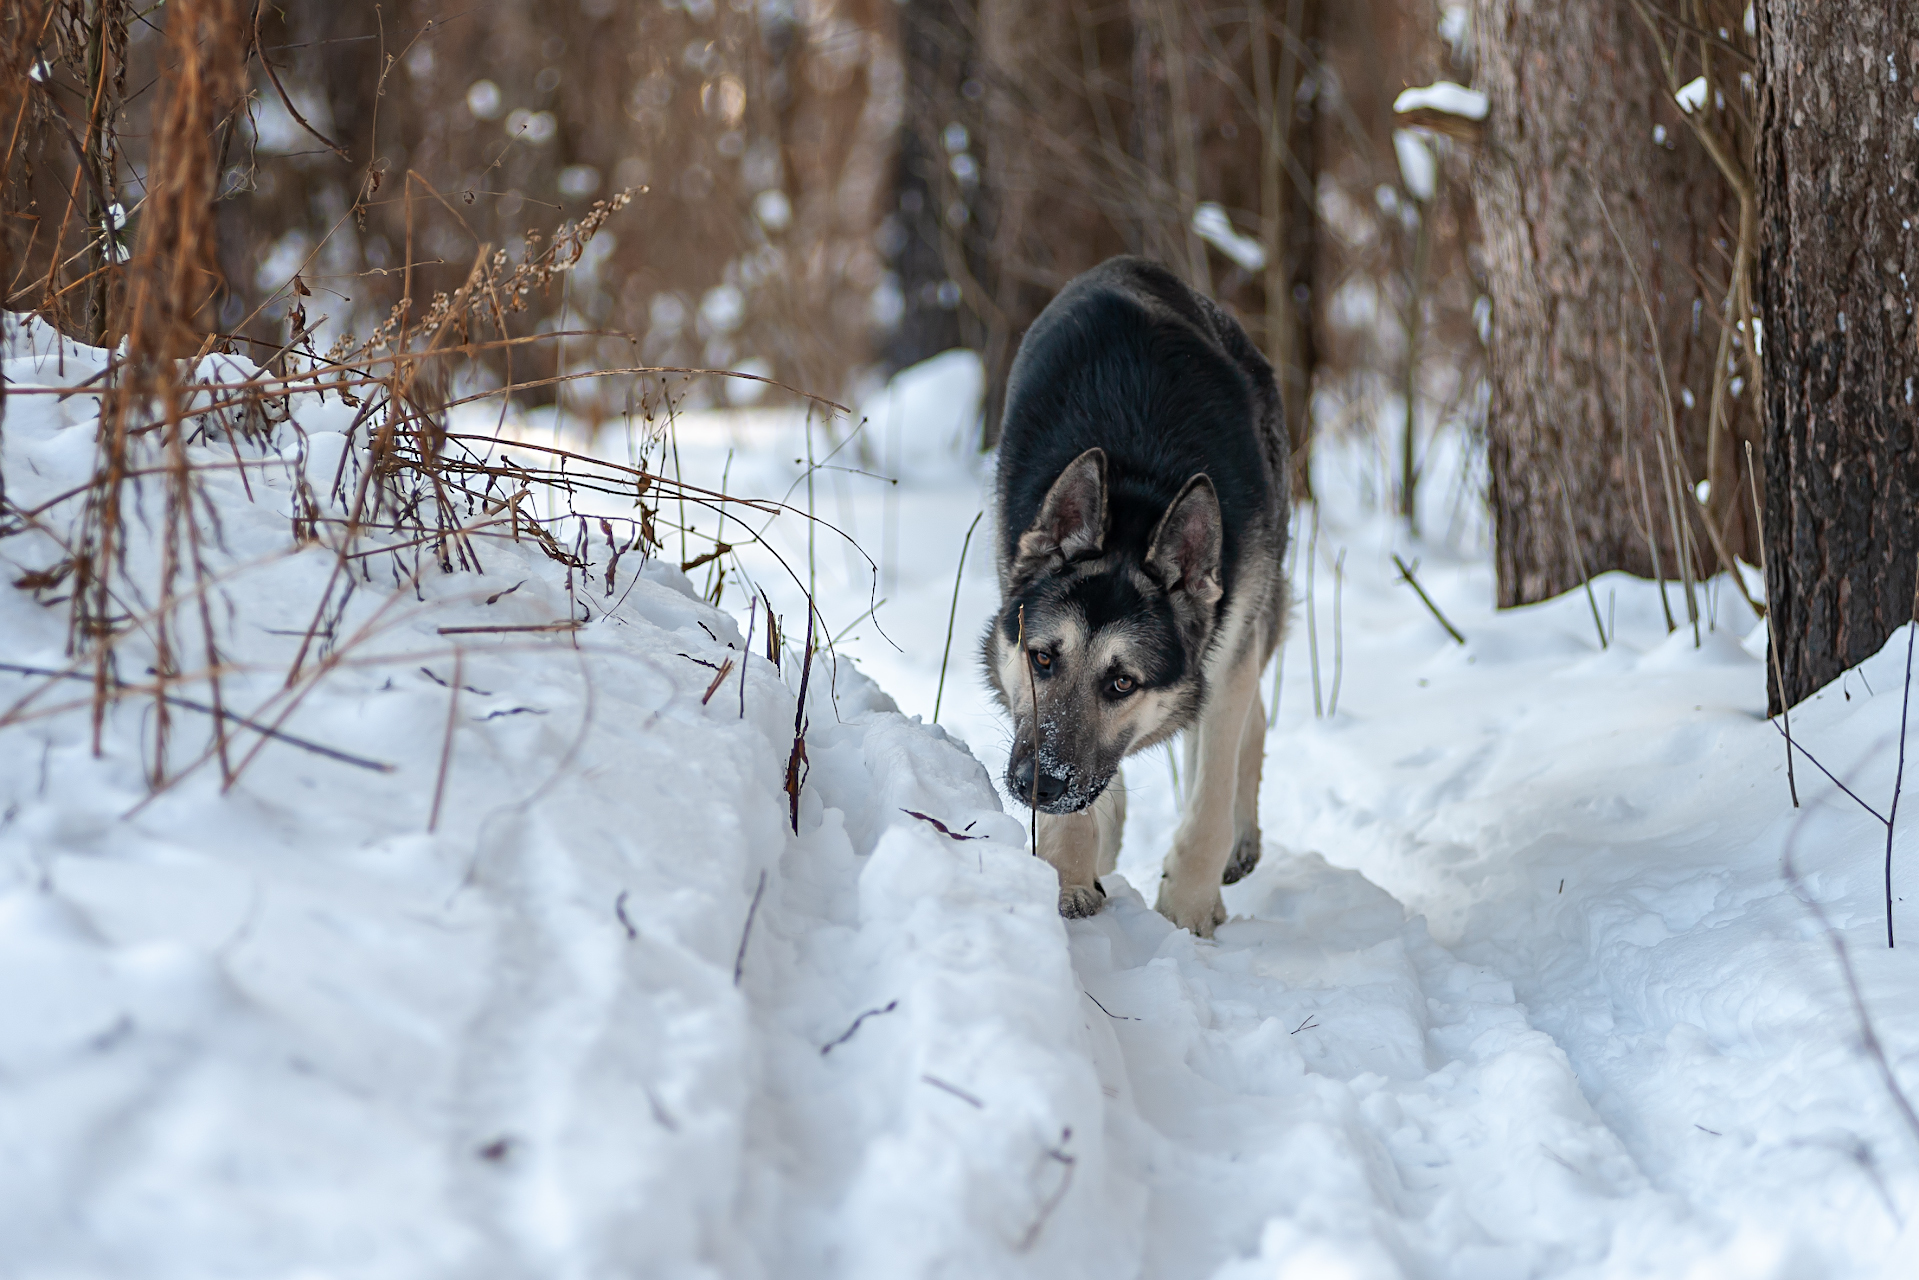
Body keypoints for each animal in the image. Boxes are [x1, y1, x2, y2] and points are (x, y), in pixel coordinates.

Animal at [990, 257, 1289, 940]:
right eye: (1042, 658)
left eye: (1122, 683)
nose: (1035, 786)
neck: (1138, 486)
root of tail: (1130, 264)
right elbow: (1086, 807)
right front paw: (1069, 878)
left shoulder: (1228, 648)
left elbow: (1208, 801)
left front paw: (1189, 906)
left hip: (1250, 615)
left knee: (1245, 721)